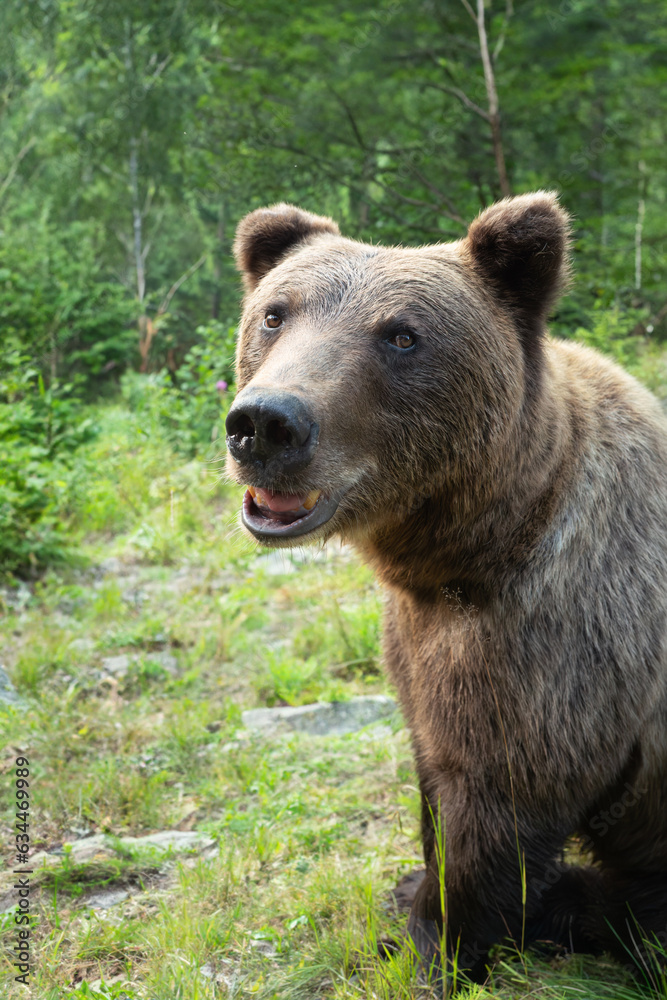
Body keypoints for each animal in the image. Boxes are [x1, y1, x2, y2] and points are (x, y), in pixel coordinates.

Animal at [225, 193, 667, 988]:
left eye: (401, 335)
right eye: (275, 313)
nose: (266, 423)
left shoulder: (565, 643)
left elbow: (494, 803)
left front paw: (434, 946)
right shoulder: (418, 638)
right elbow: (431, 768)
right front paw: (413, 895)